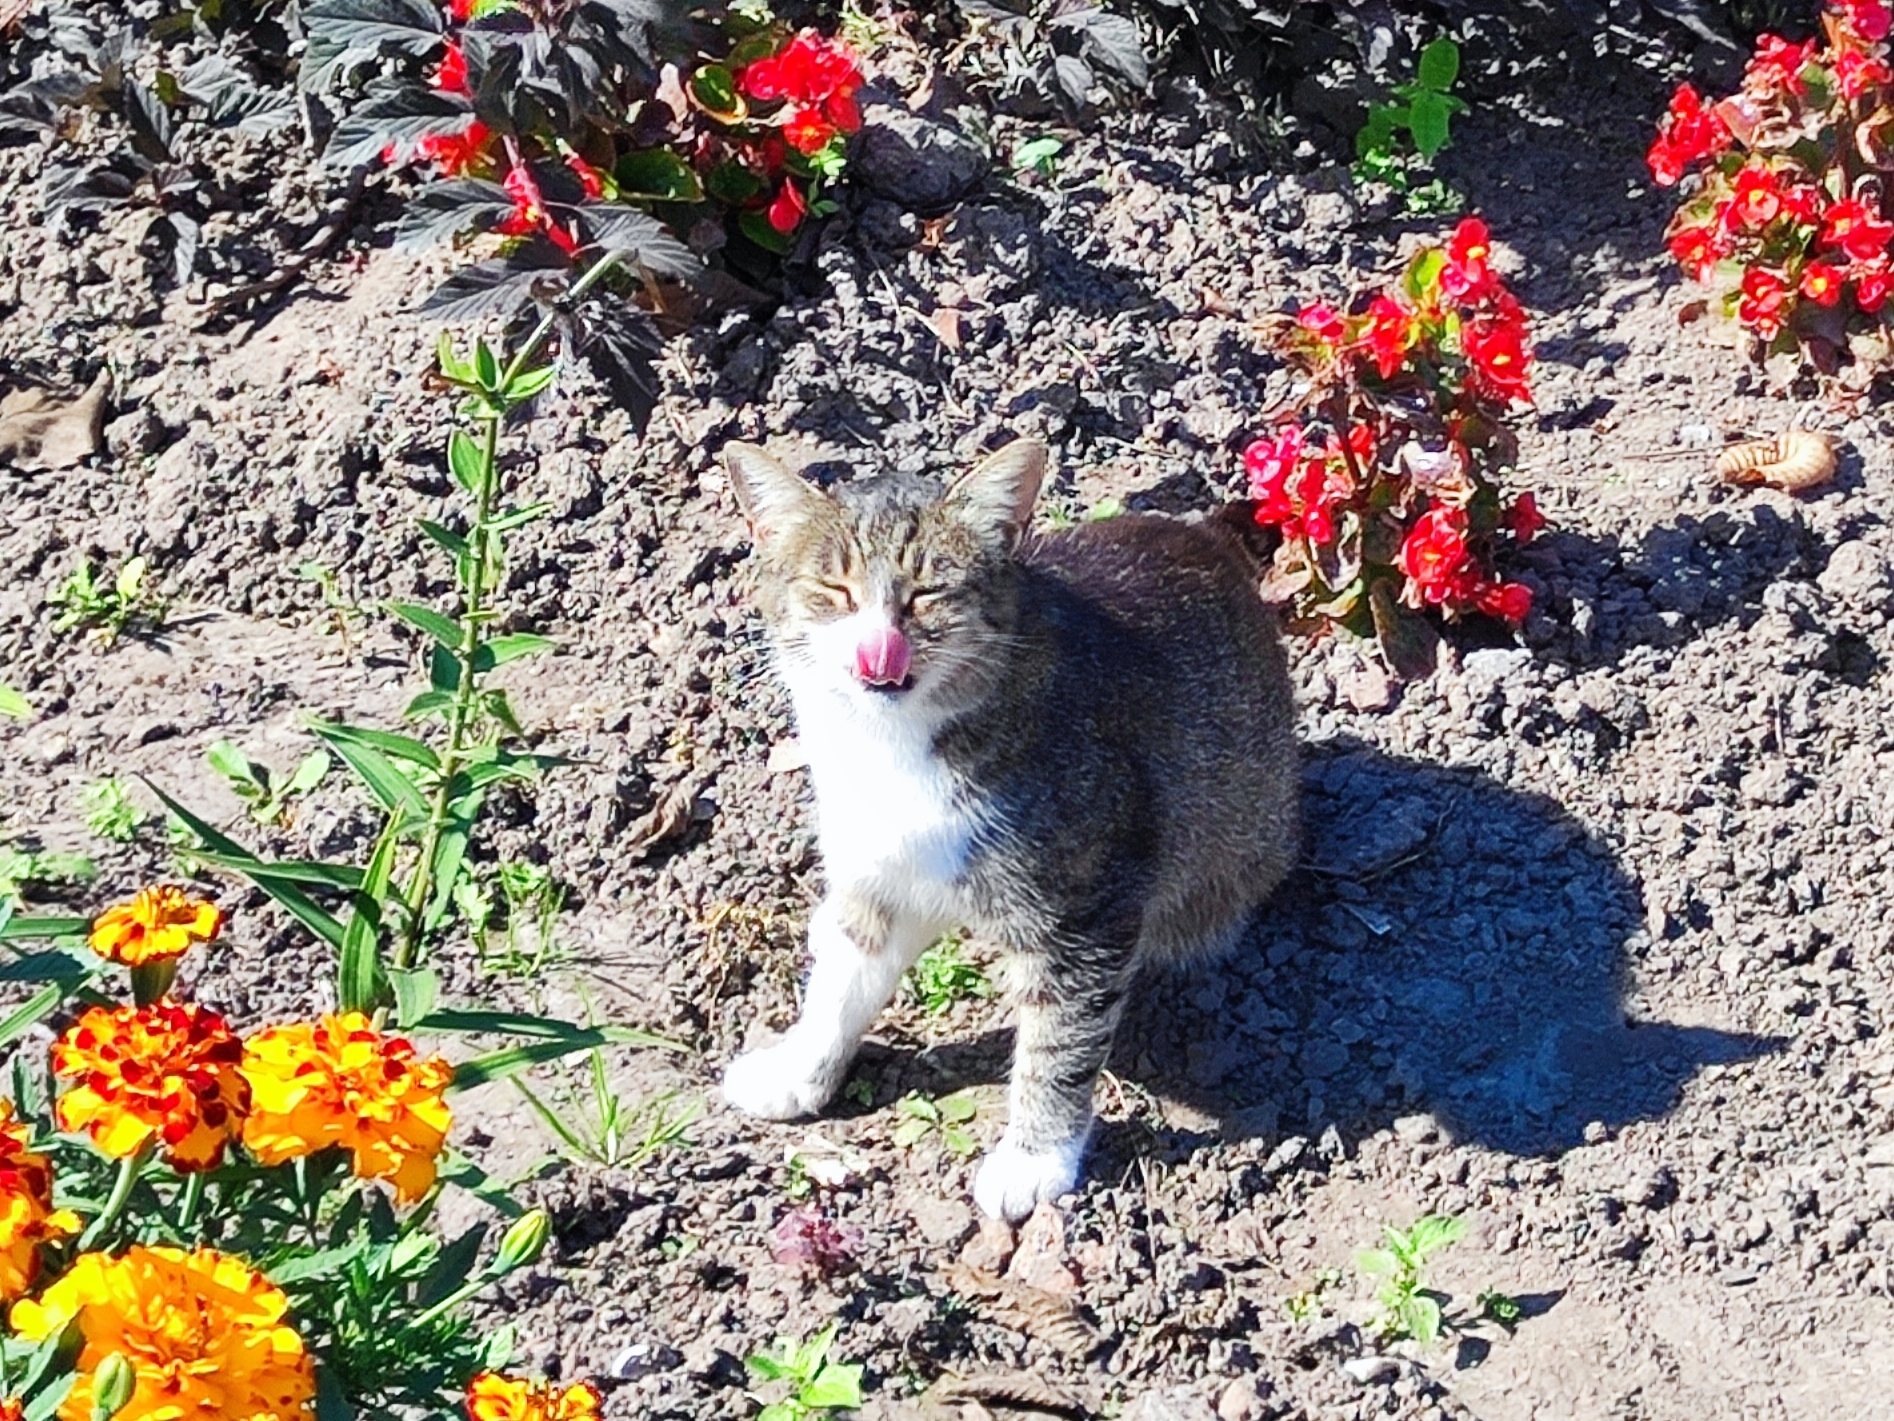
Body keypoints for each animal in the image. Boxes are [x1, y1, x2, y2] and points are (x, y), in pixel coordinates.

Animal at [715, 439, 1295, 1220]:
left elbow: (1060, 1041)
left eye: (928, 591)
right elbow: (838, 983)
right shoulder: (873, 874)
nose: (877, 648)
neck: (893, 745)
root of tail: (1207, 537)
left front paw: (1034, 1158)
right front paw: (798, 1068)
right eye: (833, 588)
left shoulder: (1088, 906)